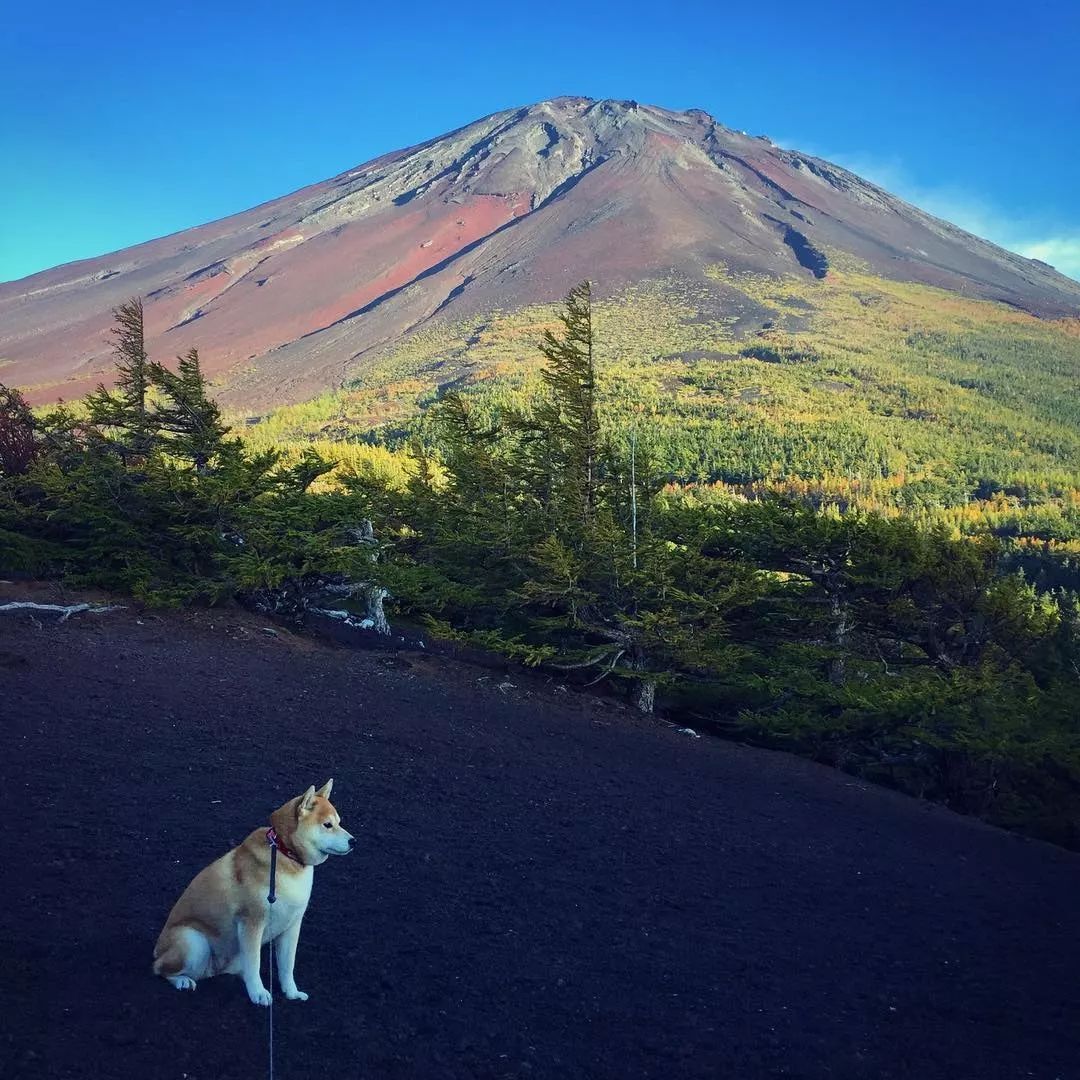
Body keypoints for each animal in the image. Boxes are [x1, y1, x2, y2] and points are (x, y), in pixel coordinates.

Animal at [152, 777, 352, 1002]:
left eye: (339, 822)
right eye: (327, 825)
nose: (353, 841)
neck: (285, 854)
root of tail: (158, 950)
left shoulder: (292, 926)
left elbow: (287, 966)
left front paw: (291, 993)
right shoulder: (251, 923)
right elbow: (255, 963)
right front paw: (259, 993)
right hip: (193, 942)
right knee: (159, 969)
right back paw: (182, 981)